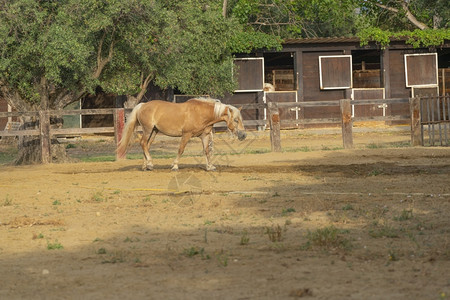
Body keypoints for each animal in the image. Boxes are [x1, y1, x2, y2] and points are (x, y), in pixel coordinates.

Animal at [117, 98, 246, 171]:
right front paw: (175, 166)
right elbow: (181, 150)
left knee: (146, 146)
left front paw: (210, 167)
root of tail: (142, 105)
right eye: (235, 120)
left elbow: (207, 151)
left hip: (154, 131)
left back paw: (147, 166)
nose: (243, 135)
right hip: (147, 129)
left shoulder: (204, 136)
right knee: (143, 143)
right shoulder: (186, 135)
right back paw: (150, 163)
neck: (201, 113)